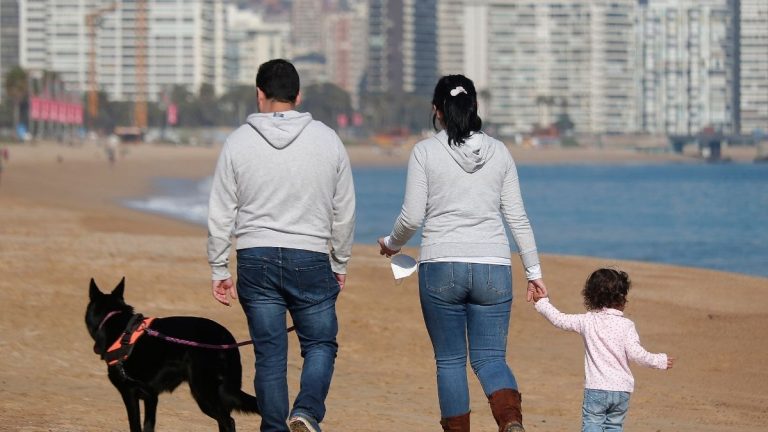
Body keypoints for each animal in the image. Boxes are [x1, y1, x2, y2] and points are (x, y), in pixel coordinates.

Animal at [85, 278, 256, 430]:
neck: (115, 321)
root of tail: (226, 338)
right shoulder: (151, 396)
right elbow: (148, 426)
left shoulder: (131, 393)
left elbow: (136, 426)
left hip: (203, 392)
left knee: (228, 421)